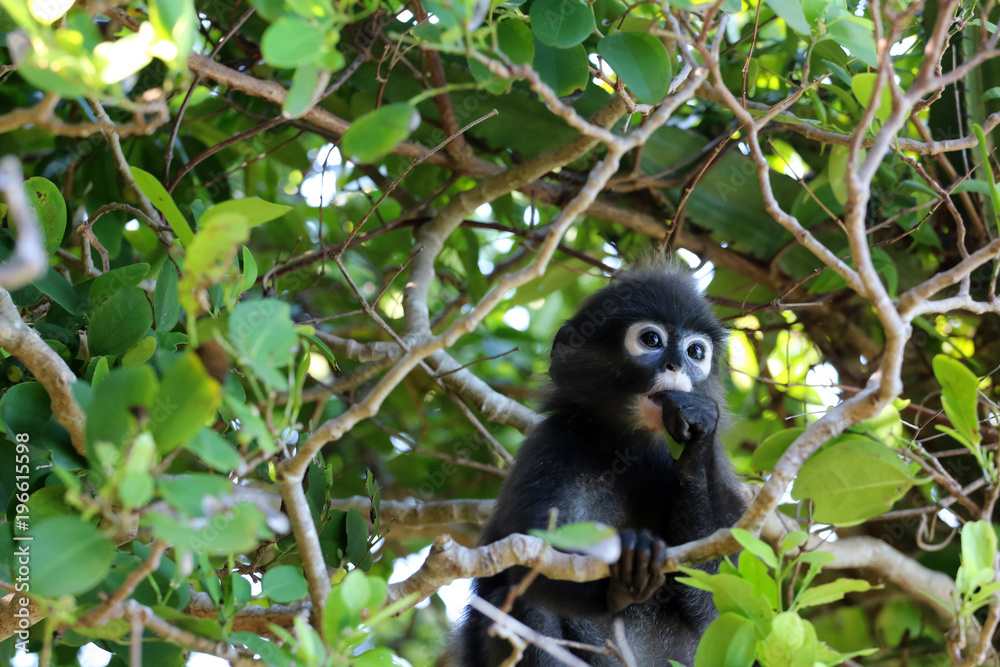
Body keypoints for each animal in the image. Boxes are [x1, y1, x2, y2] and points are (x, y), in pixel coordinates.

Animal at [450, 267, 748, 666]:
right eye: (651, 339)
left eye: (696, 352)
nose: (676, 365)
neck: (623, 450)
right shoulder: (550, 447)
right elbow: (531, 566)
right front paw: (627, 574)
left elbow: (726, 602)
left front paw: (698, 427)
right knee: (520, 603)